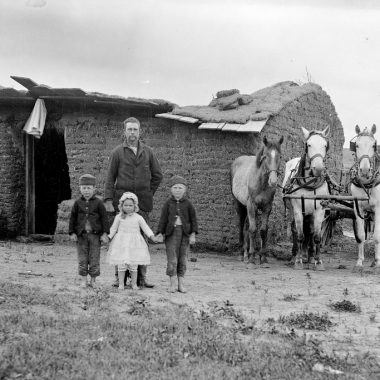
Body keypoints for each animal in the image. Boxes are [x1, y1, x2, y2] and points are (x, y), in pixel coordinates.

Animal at [230, 136, 284, 264]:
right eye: (265, 156)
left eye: (279, 156)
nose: (273, 181)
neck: (261, 183)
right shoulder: (251, 205)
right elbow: (253, 230)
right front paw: (252, 257)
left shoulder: (267, 207)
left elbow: (263, 230)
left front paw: (262, 257)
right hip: (240, 204)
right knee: (241, 225)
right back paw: (242, 254)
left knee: (246, 226)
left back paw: (245, 253)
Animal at [282, 125, 330, 270]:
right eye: (308, 144)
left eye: (325, 145)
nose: (318, 169)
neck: (310, 184)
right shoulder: (298, 209)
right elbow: (300, 235)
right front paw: (298, 261)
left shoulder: (320, 210)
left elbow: (317, 236)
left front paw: (318, 261)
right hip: (292, 210)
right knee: (294, 229)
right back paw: (295, 255)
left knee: (310, 230)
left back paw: (309, 255)